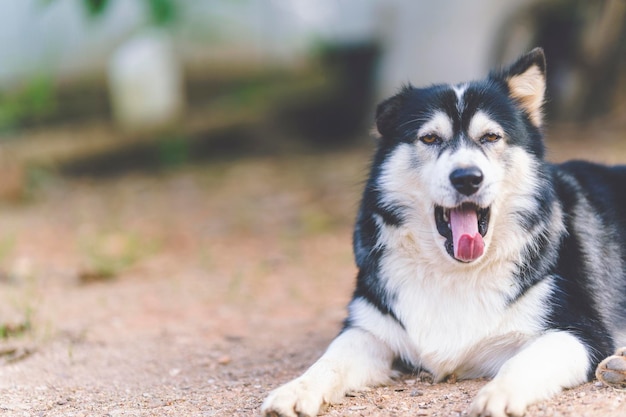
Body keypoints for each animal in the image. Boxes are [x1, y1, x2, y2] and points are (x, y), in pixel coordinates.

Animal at [260, 48, 624, 416]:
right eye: (430, 138)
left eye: (490, 137)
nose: (467, 178)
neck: (455, 272)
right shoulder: (369, 329)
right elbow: (329, 361)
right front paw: (295, 389)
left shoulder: (580, 332)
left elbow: (525, 361)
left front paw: (499, 393)